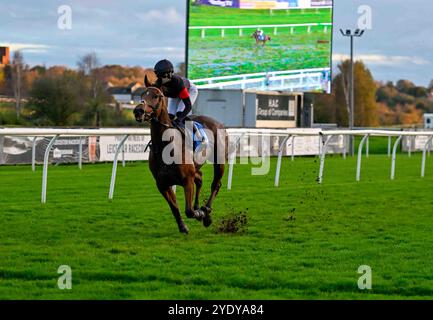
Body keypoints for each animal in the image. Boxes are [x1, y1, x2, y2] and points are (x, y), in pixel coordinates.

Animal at [132, 86, 226, 234]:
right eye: (142, 95)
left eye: (156, 95)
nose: (138, 111)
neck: (164, 145)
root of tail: (218, 123)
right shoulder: (162, 184)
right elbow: (174, 207)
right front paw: (183, 226)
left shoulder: (187, 179)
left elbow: (189, 211)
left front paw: (200, 214)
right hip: (196, 167)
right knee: (200, 178)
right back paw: (201, 208)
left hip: (219, 162)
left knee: (215, 184)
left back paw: (206, 211)